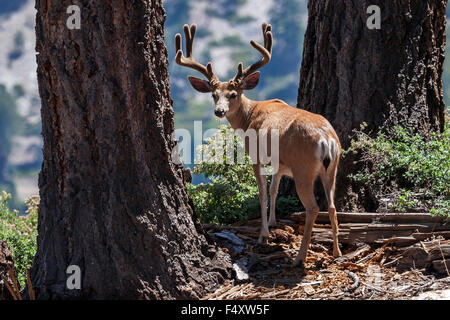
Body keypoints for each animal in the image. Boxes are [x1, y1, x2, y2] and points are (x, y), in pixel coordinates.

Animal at [174, 22, 342, 266]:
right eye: (214, 95)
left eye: (233, 94)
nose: (219, 111)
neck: (249, 116)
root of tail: (326, 138)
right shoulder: (279, 163)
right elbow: (273, 189)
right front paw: (272, 223)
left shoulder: (256, 155)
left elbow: (262, 193)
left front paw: (263, 235)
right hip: (333, 167)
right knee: (331, 205)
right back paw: (337, 252)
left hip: (304, 168)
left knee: (313, 207)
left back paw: (299, 257)